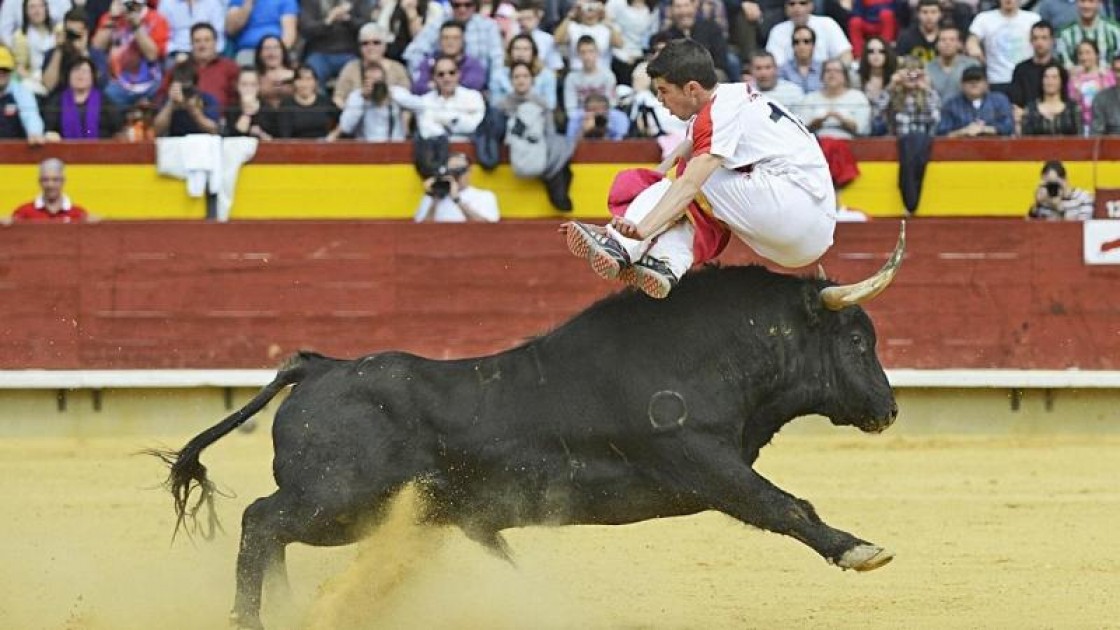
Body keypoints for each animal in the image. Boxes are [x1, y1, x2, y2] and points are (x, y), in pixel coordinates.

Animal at [155, 223, 909, 623]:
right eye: (858, 341)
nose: (889, 409)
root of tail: (318, 368)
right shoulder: (705, 463)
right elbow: (784, 505)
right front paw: (861, 549)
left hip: (356, 511)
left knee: (270, 529)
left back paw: (283, 611)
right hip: (340, 500)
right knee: (260, 519)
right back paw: (252, 616)